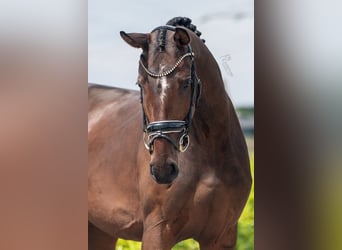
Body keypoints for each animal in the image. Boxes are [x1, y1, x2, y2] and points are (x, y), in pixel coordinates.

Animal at [88, 16, 251, 249]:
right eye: (140, 83)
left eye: (186, 82)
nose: (163, 169)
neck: (210, 152)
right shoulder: (158, 231)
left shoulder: (222, 236)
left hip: (101, 229)